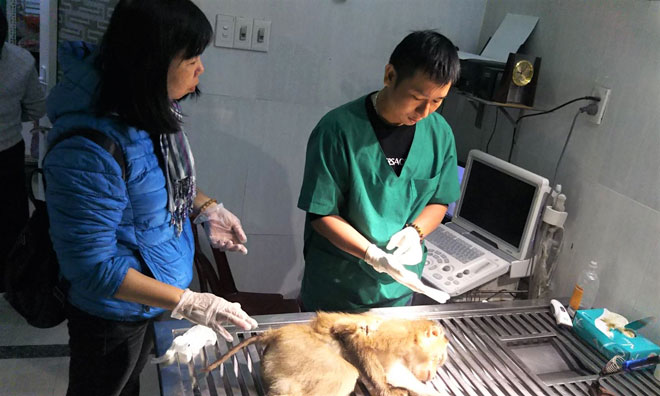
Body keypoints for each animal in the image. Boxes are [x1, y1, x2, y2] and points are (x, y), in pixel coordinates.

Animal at [202, 312, 448, 396]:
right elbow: (352, 335)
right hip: (300, 351)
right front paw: (386, 391)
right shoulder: (396, 334)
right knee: (345, 373)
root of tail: (277, 333)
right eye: (438, 359)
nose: (434, 374)